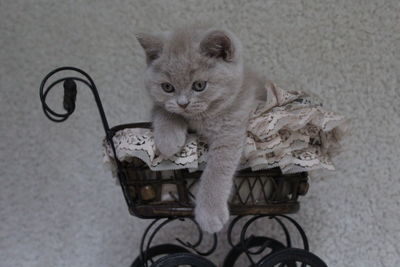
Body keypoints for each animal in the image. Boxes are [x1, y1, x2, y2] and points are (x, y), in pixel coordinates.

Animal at [138, 25, 266, 234]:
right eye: (167, 87)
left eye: (199, 85)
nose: (183, 104)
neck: (201, 119)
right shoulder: (163, 105)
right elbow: (162, 109)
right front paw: (168, 140)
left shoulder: (231, 128)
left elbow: (217, 168)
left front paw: (209, 213)